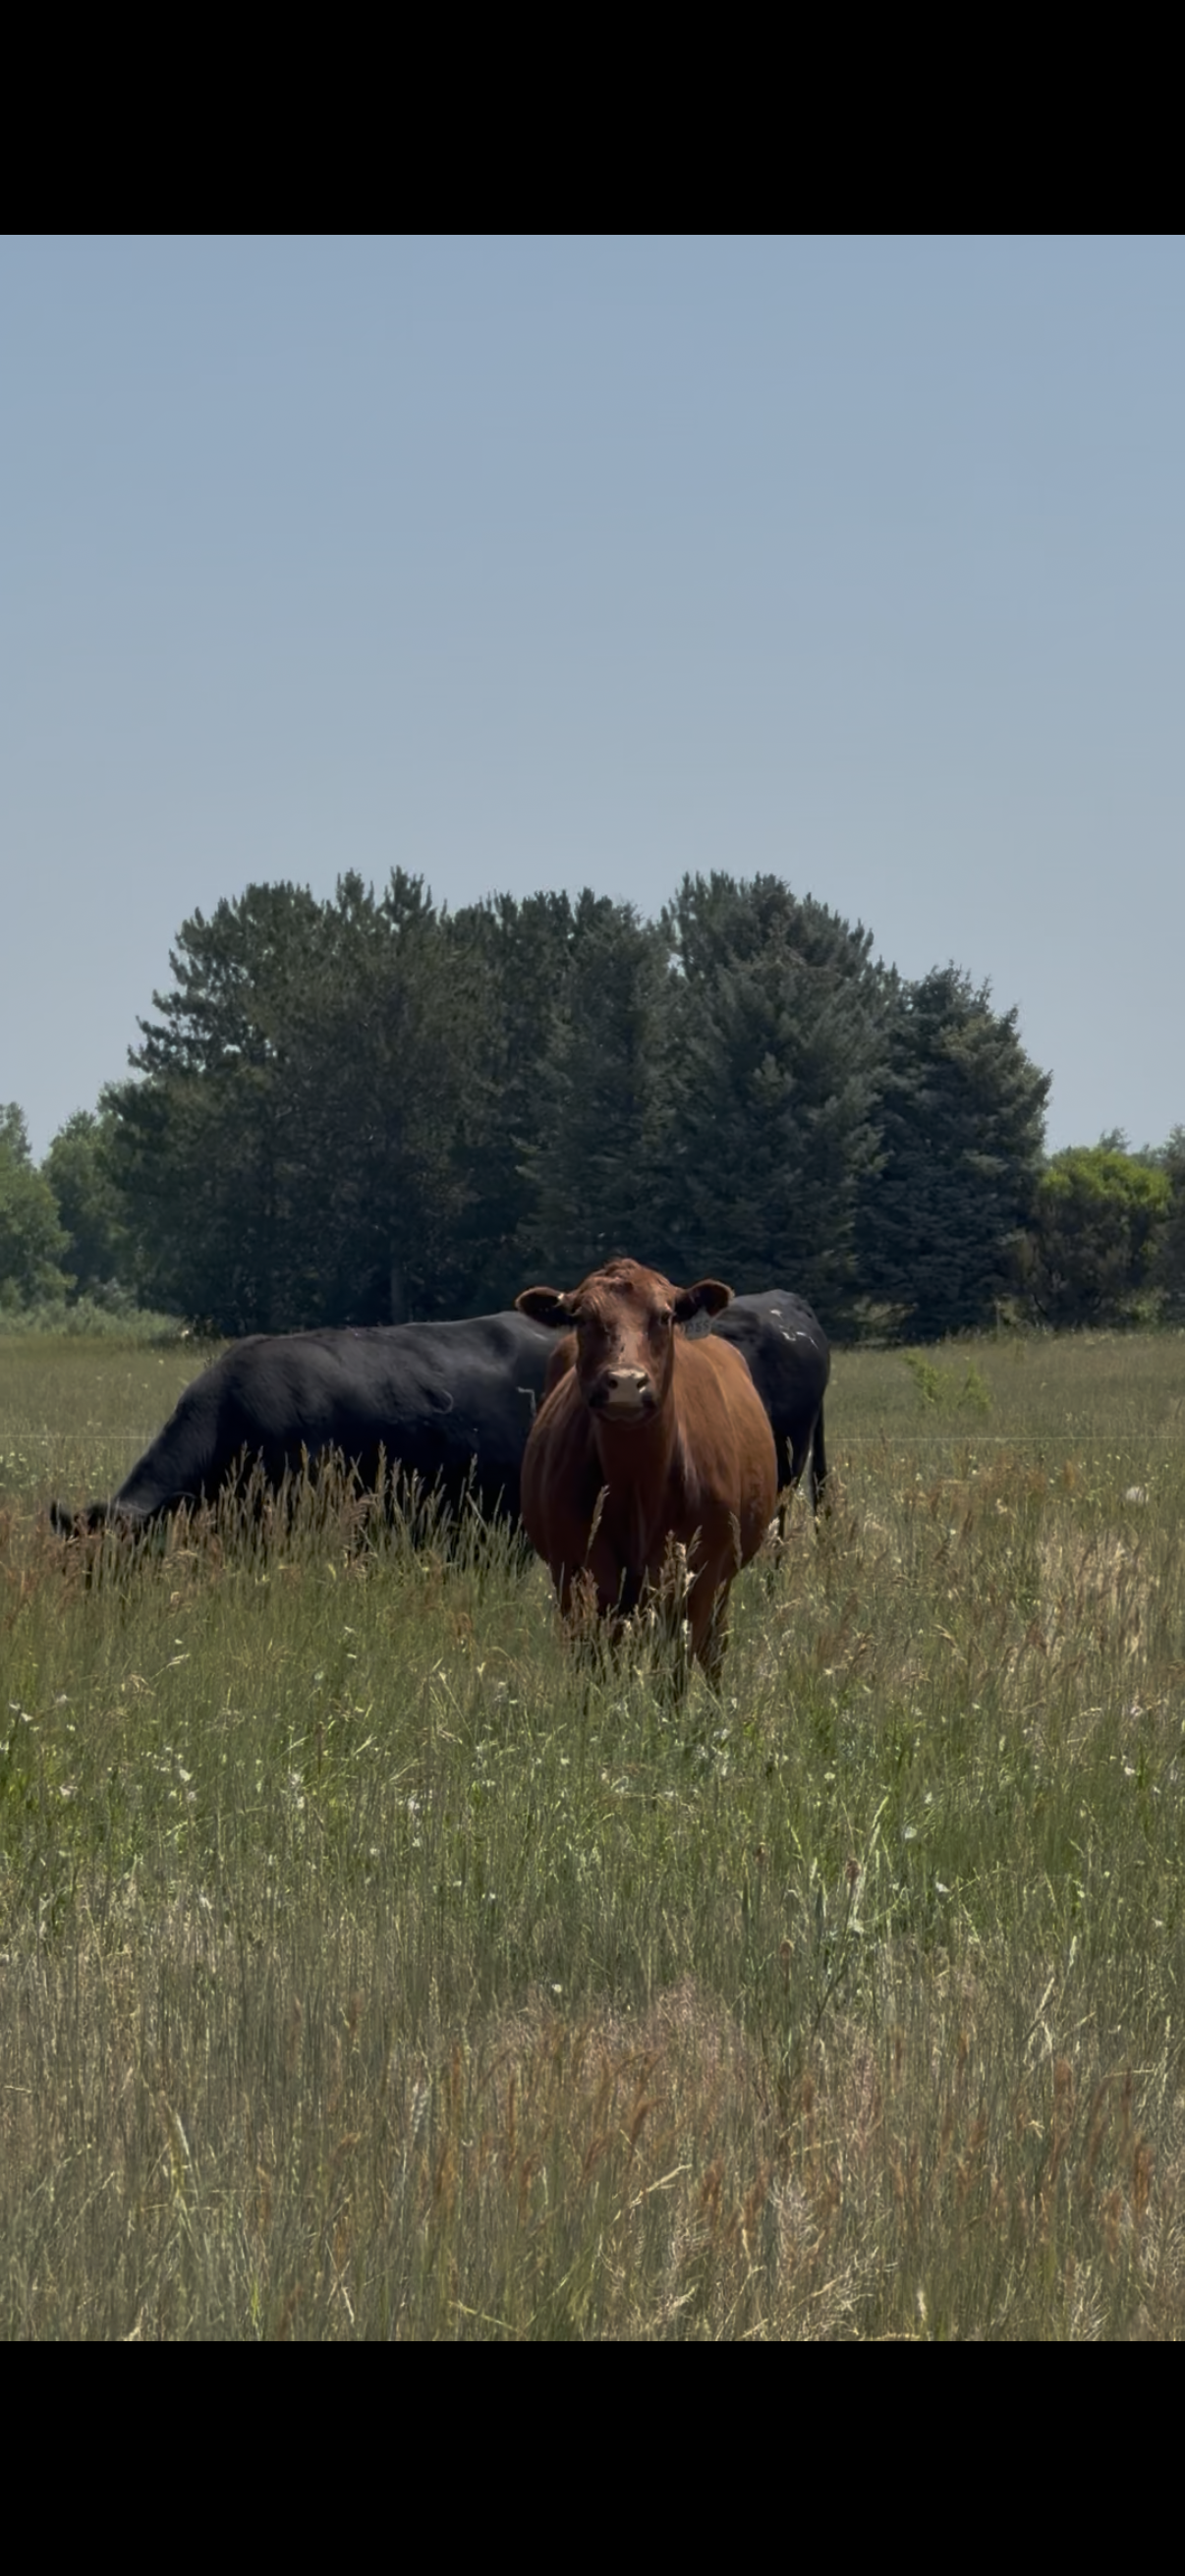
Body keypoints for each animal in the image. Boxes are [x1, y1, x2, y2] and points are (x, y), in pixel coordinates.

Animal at [514, 1258, 778, 1687]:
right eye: (582, 1318)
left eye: (665, 1316)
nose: (625, 1382)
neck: (637, 1486)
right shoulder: (576, 1576)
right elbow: (591, 1668)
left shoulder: (696, 1578)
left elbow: (675, 1672)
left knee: (712, 1649)